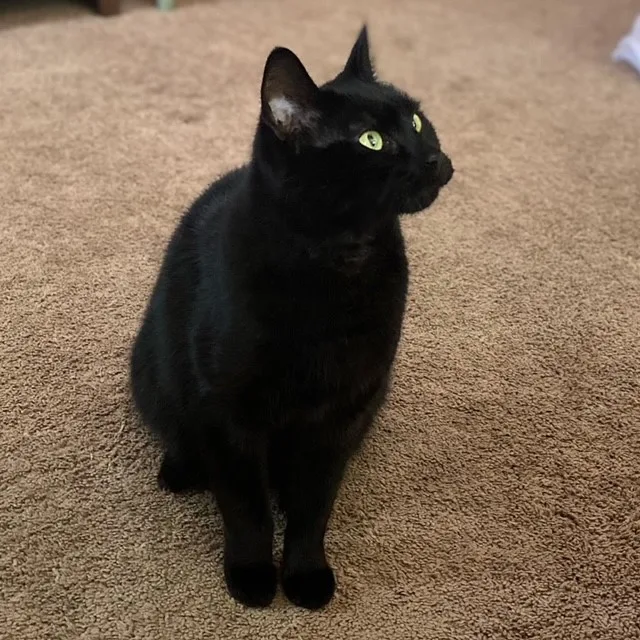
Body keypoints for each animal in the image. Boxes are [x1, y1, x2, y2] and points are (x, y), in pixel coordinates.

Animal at [130, 26, 452, 608]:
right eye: (372, 140)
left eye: (418, 121)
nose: (436, 157)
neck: (338, 260)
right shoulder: (228, 415)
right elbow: (246, 508)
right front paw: (253, 575)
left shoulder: (342, 414)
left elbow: (313, 508)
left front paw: (304, 575)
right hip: (155, 371)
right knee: (176, 429)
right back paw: (183, 469)